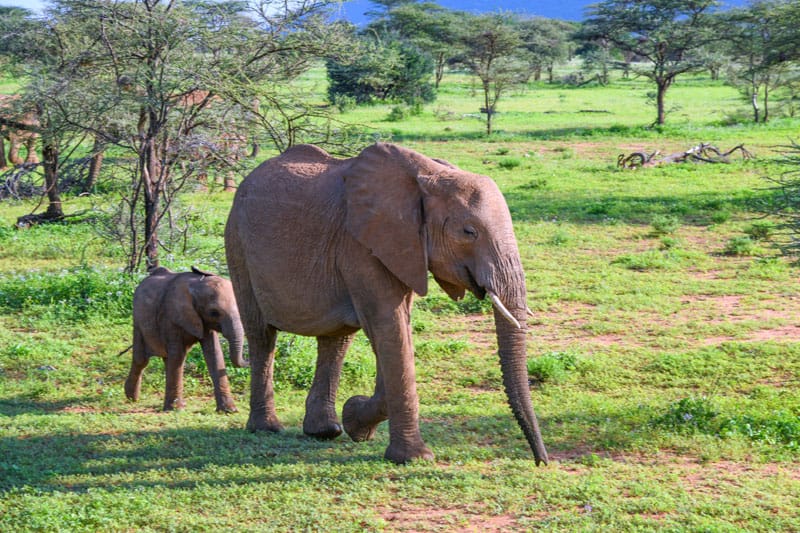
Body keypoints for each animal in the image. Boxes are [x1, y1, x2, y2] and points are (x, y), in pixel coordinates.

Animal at [123, 266, 248, 412]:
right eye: (214, 313)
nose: (248, 360)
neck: (195, 286)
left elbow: (214, 354)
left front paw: (229, 410)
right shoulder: (171, 316)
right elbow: (178, 355)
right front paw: (174, 410)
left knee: (165, 359)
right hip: (138, 320)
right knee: (142, 360)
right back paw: (132, 398)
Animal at [225, 143, 552, 464]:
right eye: (469, 232)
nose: (542, 461)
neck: (428, 176)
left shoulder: (402, 247)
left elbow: (396, 330)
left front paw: (355, 419)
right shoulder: (360, 245)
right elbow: (389, 328)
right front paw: (414, 458)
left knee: (336, 339)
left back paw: (325, 431)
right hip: (237, 244)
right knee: (262, 336)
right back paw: (266, 428)